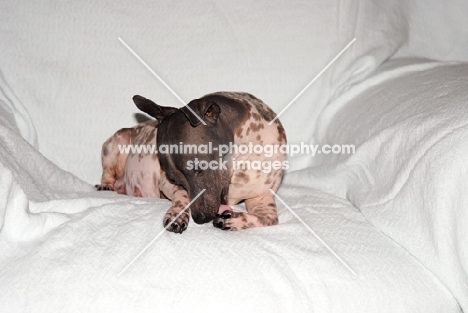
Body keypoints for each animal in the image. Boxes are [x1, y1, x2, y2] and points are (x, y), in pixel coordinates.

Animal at [97, 91, 288, 233]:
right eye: (174, 178)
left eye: (198, 168)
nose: (200, 218)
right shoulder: (165, 183)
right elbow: (182, 195)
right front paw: (178, 214)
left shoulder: (261, 196)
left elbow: (270, 219)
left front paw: (234, 221)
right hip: (115, 144)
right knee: (108, 171)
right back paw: (105, 185)